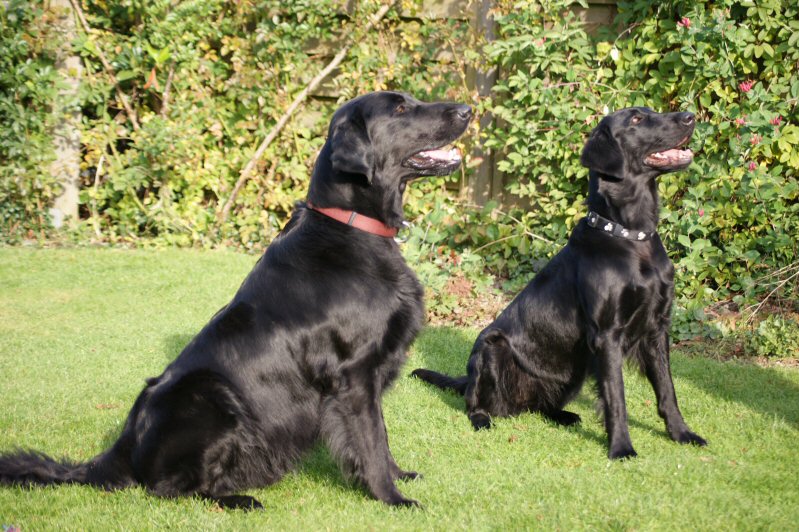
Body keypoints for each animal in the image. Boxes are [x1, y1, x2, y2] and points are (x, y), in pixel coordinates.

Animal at [0, 91, 472, 507]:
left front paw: (399, 476)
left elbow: (383, 440)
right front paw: (392, 499)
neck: (351, 227)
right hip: (212, 396)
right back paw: (240, 501)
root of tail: (122, 444)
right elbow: (371, 442)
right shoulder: (353, 375)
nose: (468, 109)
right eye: (400, 108)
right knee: (169, 489)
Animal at [413, 107, 706, 459]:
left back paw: (565, 416)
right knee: (475, 403)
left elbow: (667, 391)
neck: (630, 237)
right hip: (491, 347)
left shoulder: (657, 328)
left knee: (540, 407)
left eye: (651, 112)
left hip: (573, 369)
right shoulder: (607, 334)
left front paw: (681, 433)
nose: (690, 116)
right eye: (636, 119)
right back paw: (483, 418)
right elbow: (616, 397)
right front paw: (621, 448)